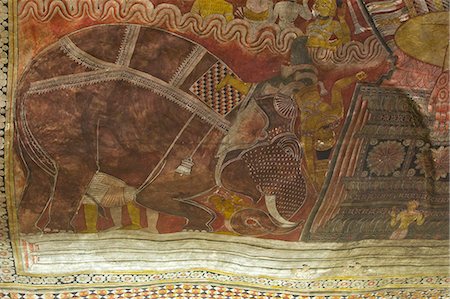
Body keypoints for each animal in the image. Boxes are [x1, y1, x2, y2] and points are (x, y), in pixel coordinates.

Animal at [14, 24, 310, 236]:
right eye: (289, 150)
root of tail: (24, 80)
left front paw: (197, 228)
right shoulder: (190, 157)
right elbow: (149, 196)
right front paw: (200, 226)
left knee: (40, 179)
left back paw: (31, 231)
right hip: (70, 129)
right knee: (72, 173)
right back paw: (59, 232)